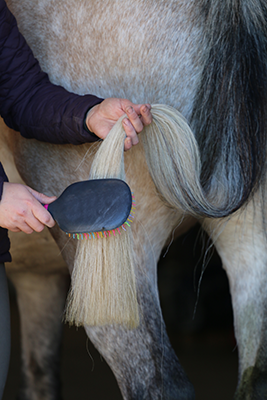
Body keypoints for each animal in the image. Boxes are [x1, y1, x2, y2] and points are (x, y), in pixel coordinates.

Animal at [2, 0, 267, 400]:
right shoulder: (38, 276)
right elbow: (40, 376)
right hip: (250, 233)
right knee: (256, 374)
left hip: (120, 264)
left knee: (158, 382)